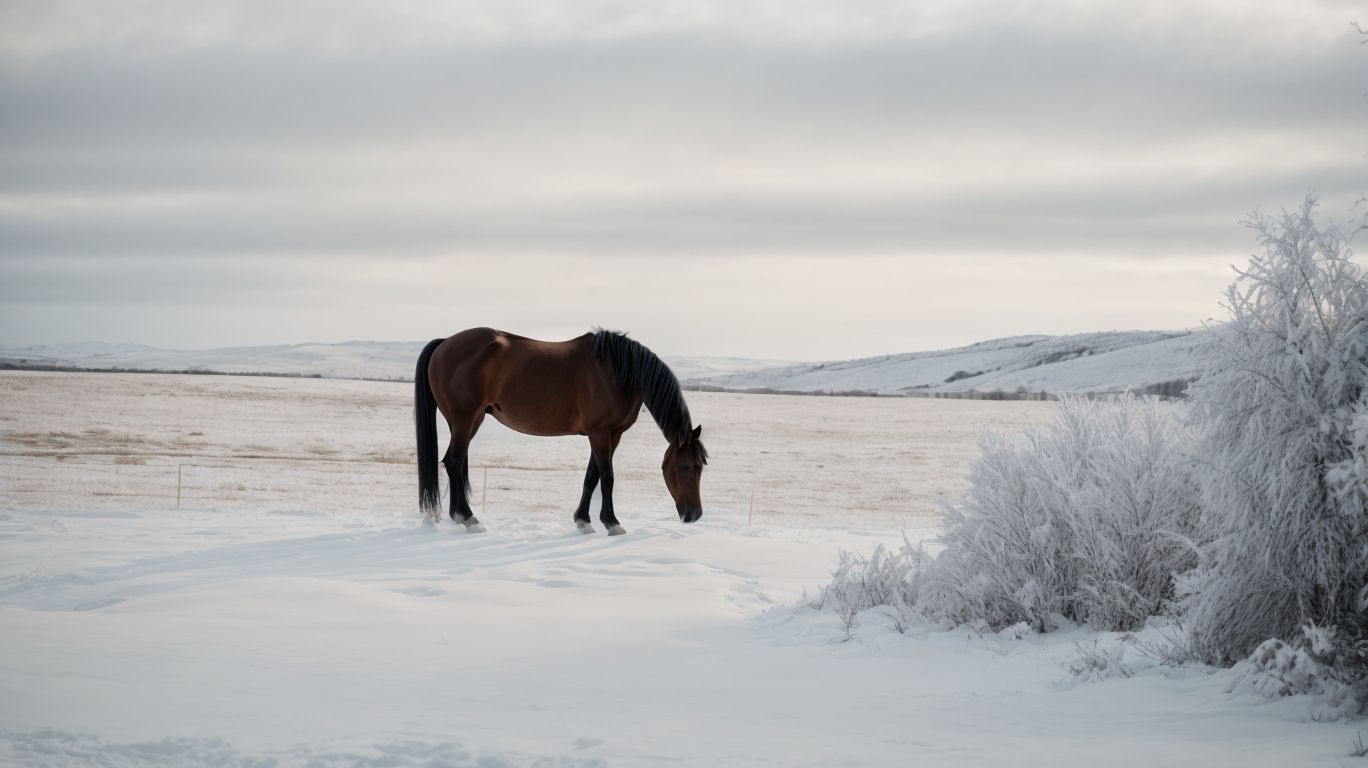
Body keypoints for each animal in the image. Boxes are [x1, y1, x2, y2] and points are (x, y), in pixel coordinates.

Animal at [414, 327, 707, 535]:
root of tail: (445, 343)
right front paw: (612, 523)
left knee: (454, 462)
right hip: (464, 420)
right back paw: (469, 519)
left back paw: (458, 517)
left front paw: (583, 521)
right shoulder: (600, 432)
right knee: (454, 462)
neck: (619, 372)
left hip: (469, 421)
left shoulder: (611, 433)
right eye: (684, 466)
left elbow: (592, 476)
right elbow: (607, 477)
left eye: (701, 466)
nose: (694, 515)